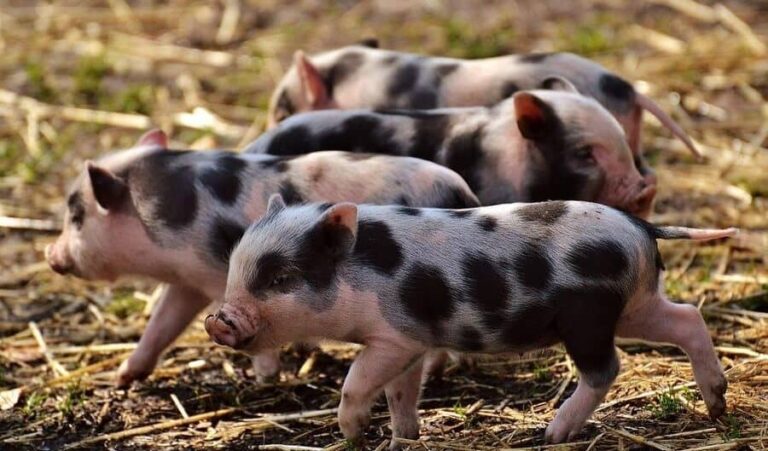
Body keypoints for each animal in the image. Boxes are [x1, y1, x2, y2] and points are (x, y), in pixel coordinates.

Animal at [44, 129, 480, 387]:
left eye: (77, 216)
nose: (51, 256)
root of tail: (462, 193)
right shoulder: (188, 280)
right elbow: (161, 324)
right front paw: (123, 378)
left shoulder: (213, 272)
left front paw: (266, 378)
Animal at [208, 194, 734, 447]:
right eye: (235, 269)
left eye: (281, 277)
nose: (219, 320)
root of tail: (640, 226)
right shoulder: (414, 342)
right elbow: (401, 392)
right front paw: (403, 439)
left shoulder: (393, 338)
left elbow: (357, 383)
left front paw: (354, 435)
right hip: (635, 304)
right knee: (687, 318)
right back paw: (717, 407)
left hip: (588, 315)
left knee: (606, 368)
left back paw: (552, 435)